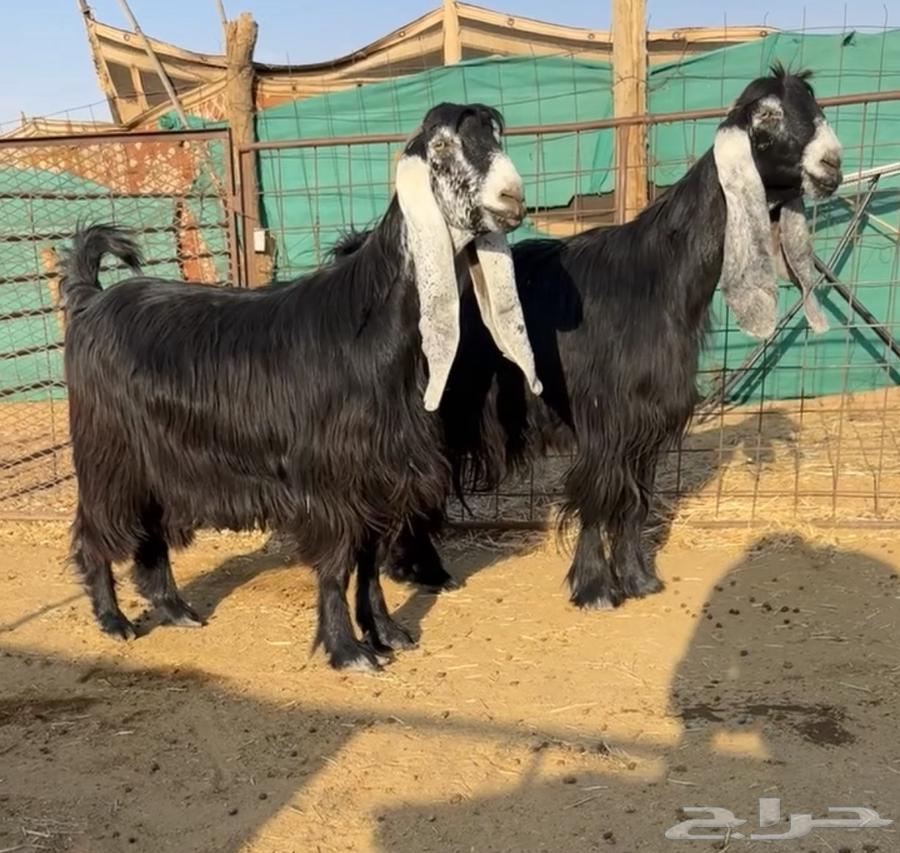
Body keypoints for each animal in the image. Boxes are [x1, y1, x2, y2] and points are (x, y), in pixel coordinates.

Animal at [59, 102, 543, 671]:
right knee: (95, 531)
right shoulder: (331, 481)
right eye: (443, 145)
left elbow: (369, 562)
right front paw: (348, 650)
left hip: (157, 461)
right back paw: (115, 621)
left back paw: (176, 609)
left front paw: (386, 632)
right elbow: (337, 566)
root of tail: (92, 299)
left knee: (150, 533)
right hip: (108, 454)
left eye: (497, 136)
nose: (512, 199)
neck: (370, 326)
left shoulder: (379, 476)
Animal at [358, 66, 844, 605]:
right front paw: (594, 587)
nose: (833, 164)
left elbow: (635, 502)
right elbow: (598, 498)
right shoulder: (603, 417)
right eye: (767, 115)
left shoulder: (647, 422)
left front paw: (638, 579)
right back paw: (419, 569)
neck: (658, 276)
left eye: (816, 108)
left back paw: (416, 568)